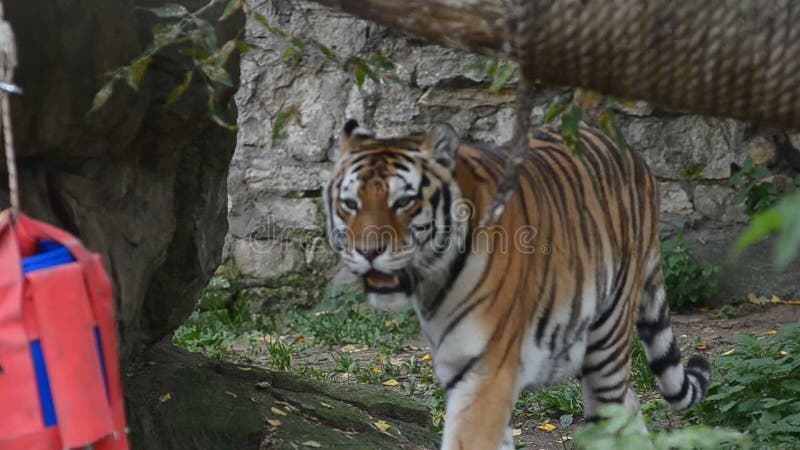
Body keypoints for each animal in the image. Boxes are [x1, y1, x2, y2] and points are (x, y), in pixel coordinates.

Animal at [322, 119, 708, 450]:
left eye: (403, 201)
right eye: (350, 204)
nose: (368, 251)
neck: (435, 283)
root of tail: (632, 152)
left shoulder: (487, 371)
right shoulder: (459, 367)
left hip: (608, 338)